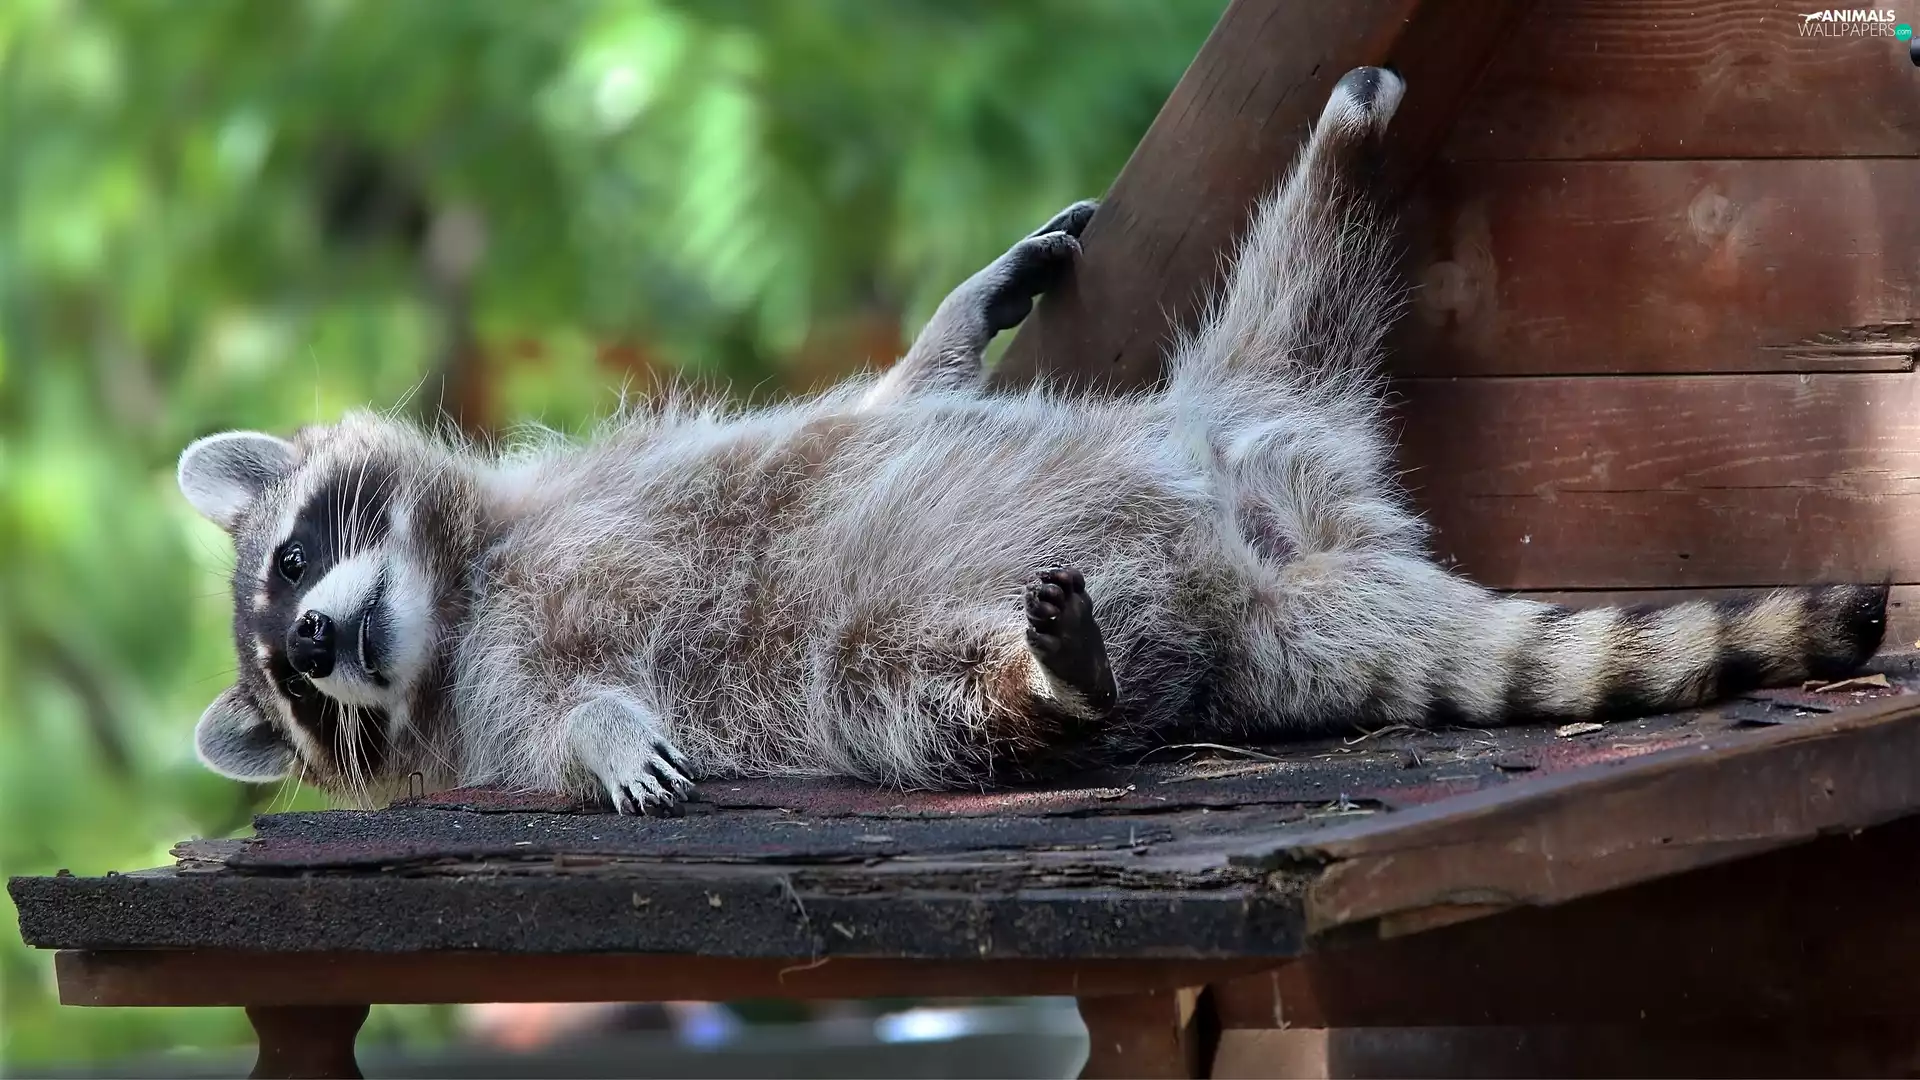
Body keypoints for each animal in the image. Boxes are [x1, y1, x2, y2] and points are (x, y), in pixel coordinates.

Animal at [179, 68, 1887, 813]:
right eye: (297, 688)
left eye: (295, 559)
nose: (316, 642)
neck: (466, 592)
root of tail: (1276, 582)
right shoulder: (497, 697)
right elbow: (555, 727)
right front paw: (606, 743)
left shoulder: (624, 474)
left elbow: (878, 403)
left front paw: (957, 316)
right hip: (946, 647)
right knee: (929, 695)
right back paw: (1046, 682)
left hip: (1256, 411)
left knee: (1298, 290)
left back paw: (1343, 152)